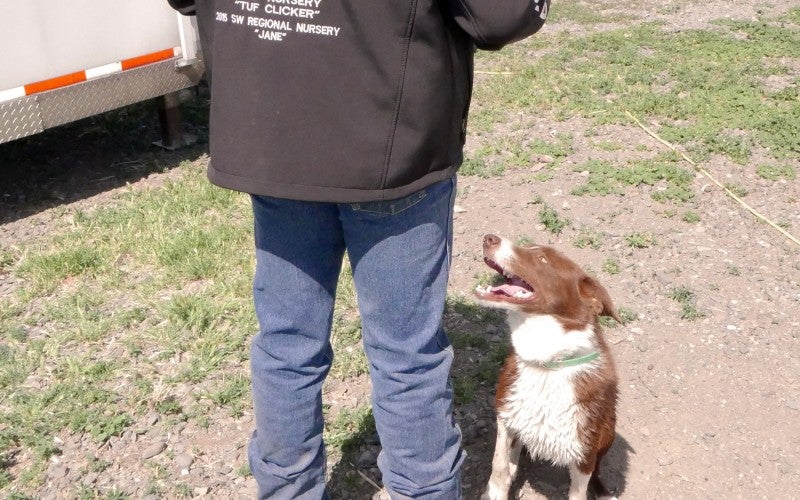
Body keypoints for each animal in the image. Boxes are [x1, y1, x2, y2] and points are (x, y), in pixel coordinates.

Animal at [476, 234, 620, 500]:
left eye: (542, 259)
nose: (489, 238)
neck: (548, 363)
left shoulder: (584, 451)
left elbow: (579, 490)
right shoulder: (506, 416)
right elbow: (498, 470)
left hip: (607, 432)